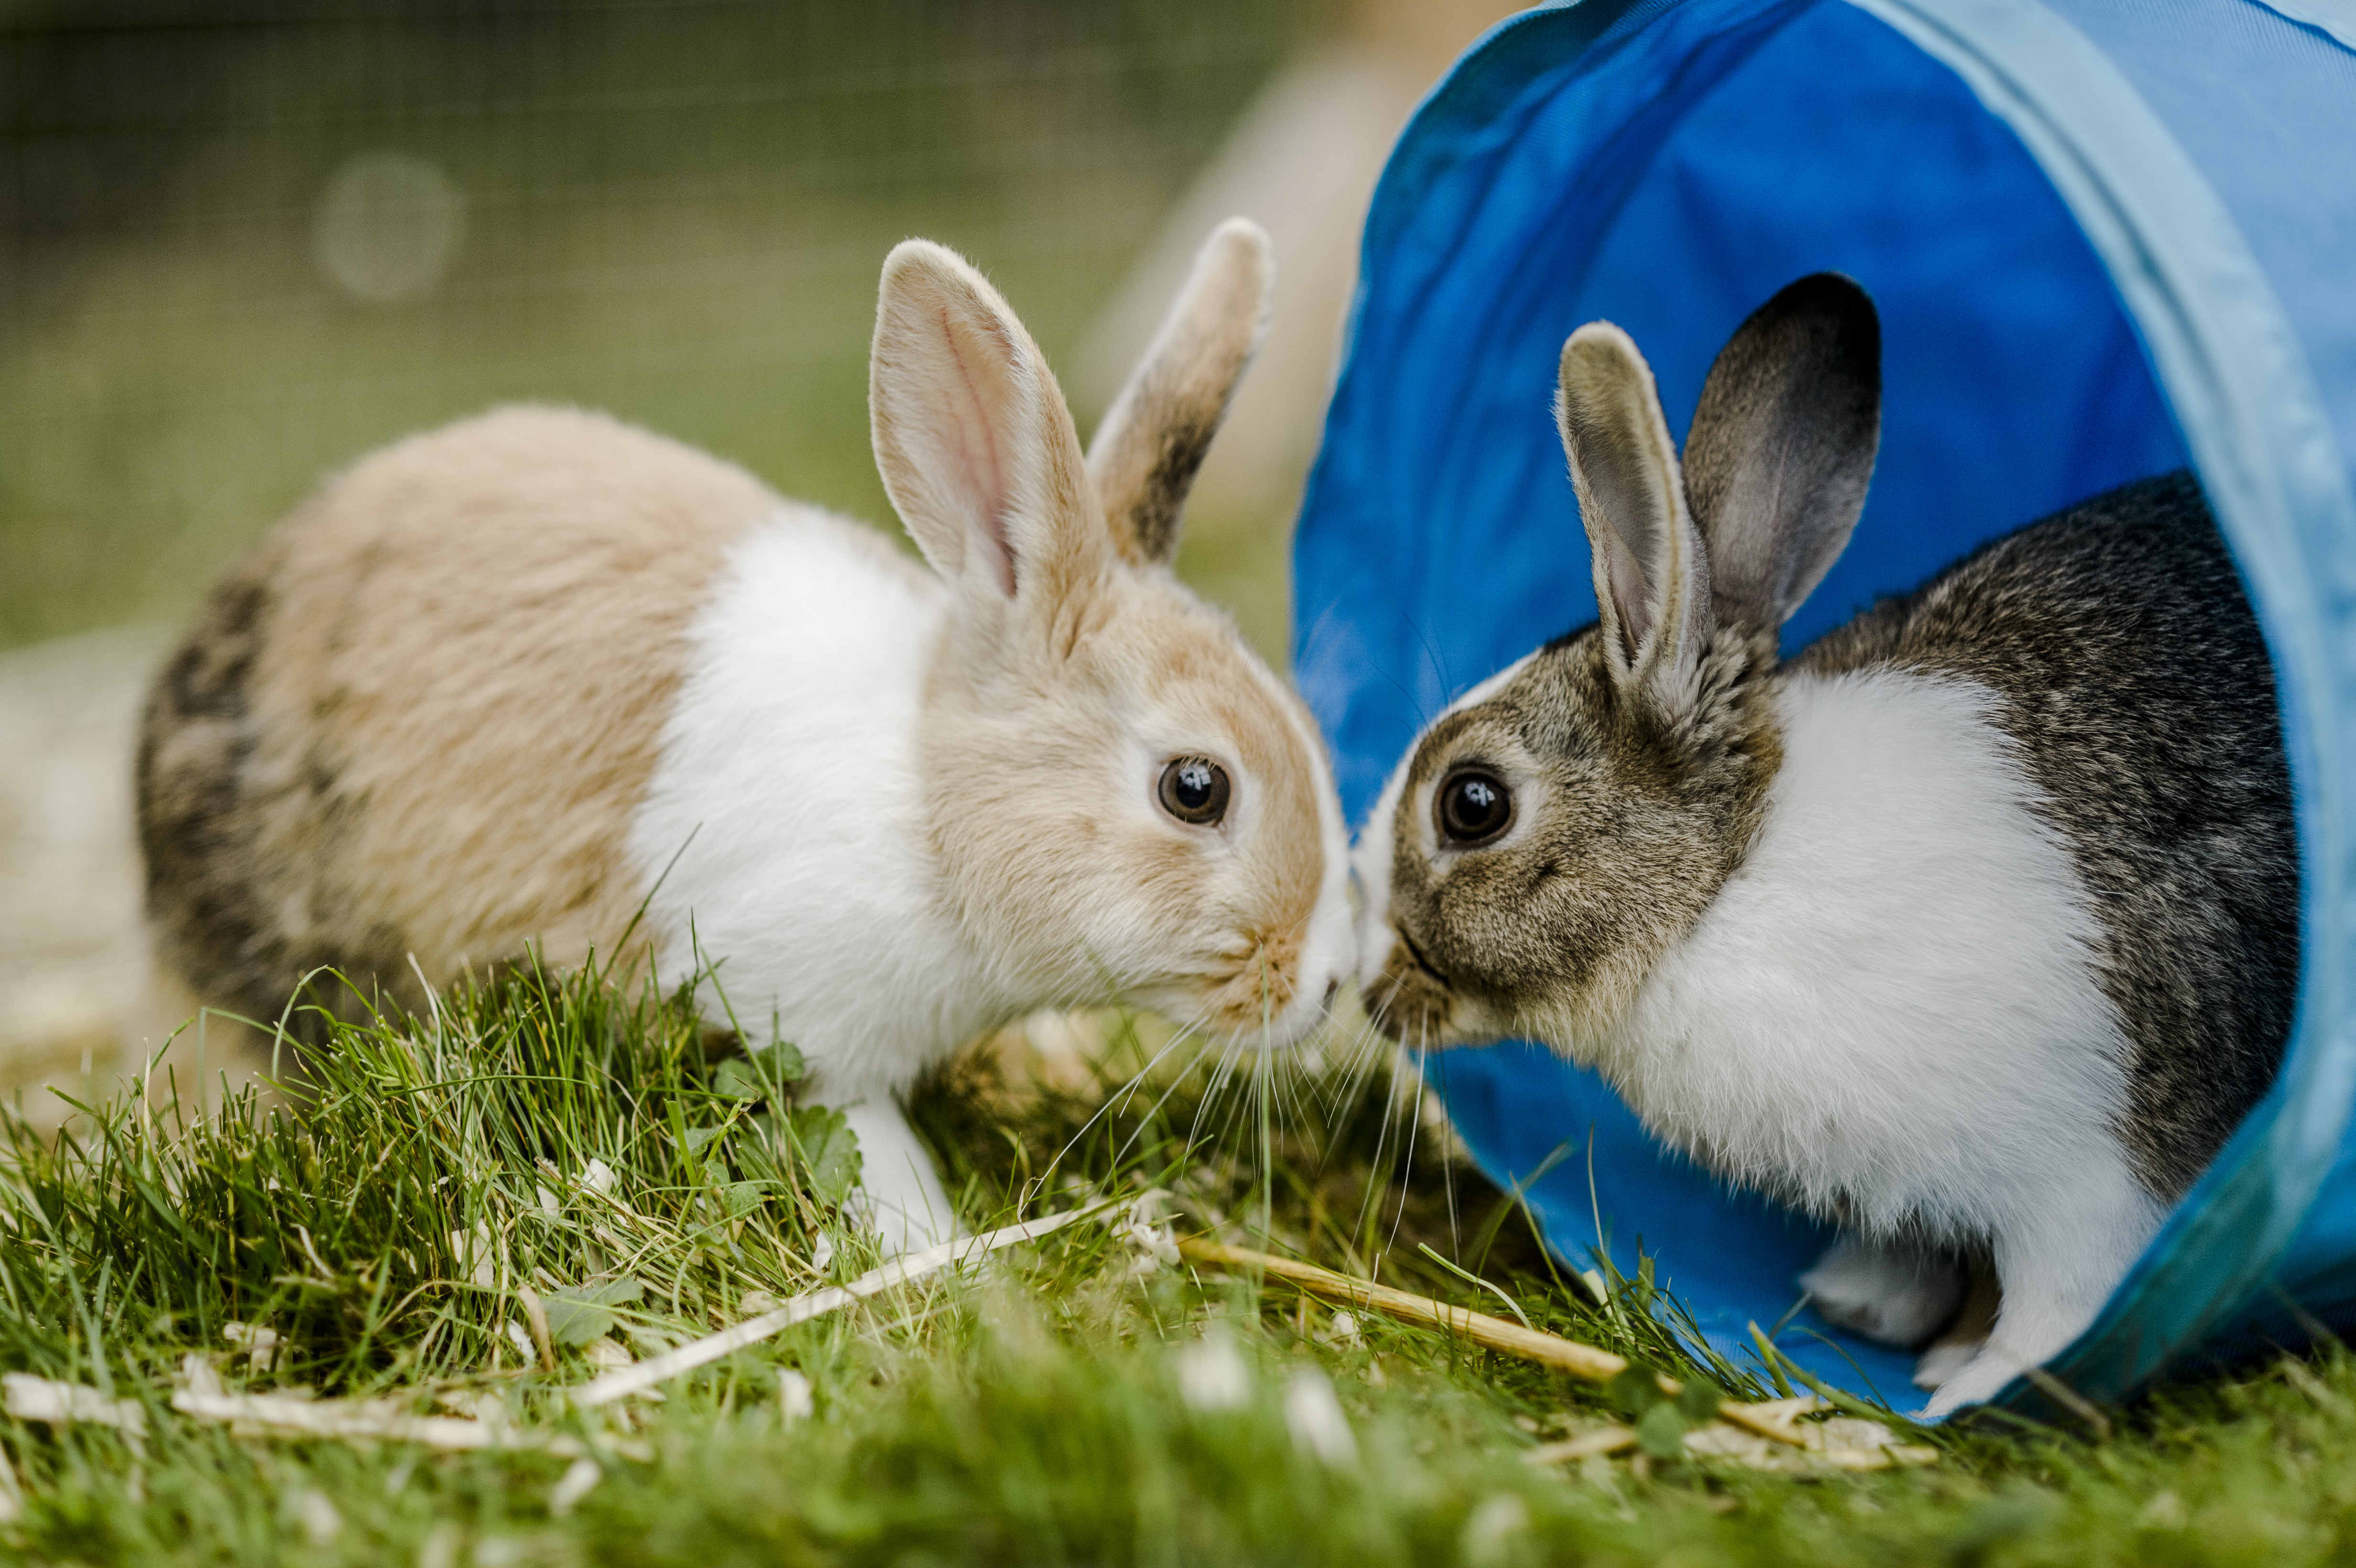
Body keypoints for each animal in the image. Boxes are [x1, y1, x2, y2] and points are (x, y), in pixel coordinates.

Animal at [147, 217, 1357, 1243]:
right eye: (1196, 787)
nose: (1329, 983)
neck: (928, 804)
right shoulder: (801, 1025)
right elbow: (866, 1140)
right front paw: (940, 1250)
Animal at [1357, 274, 2290, 1412]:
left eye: (1473, 803)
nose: (1363, 986)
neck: (1724, 882)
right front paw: (1863, 1305)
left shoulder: (2094, 1175)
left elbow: (2061, 1301)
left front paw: (1964, 1390)